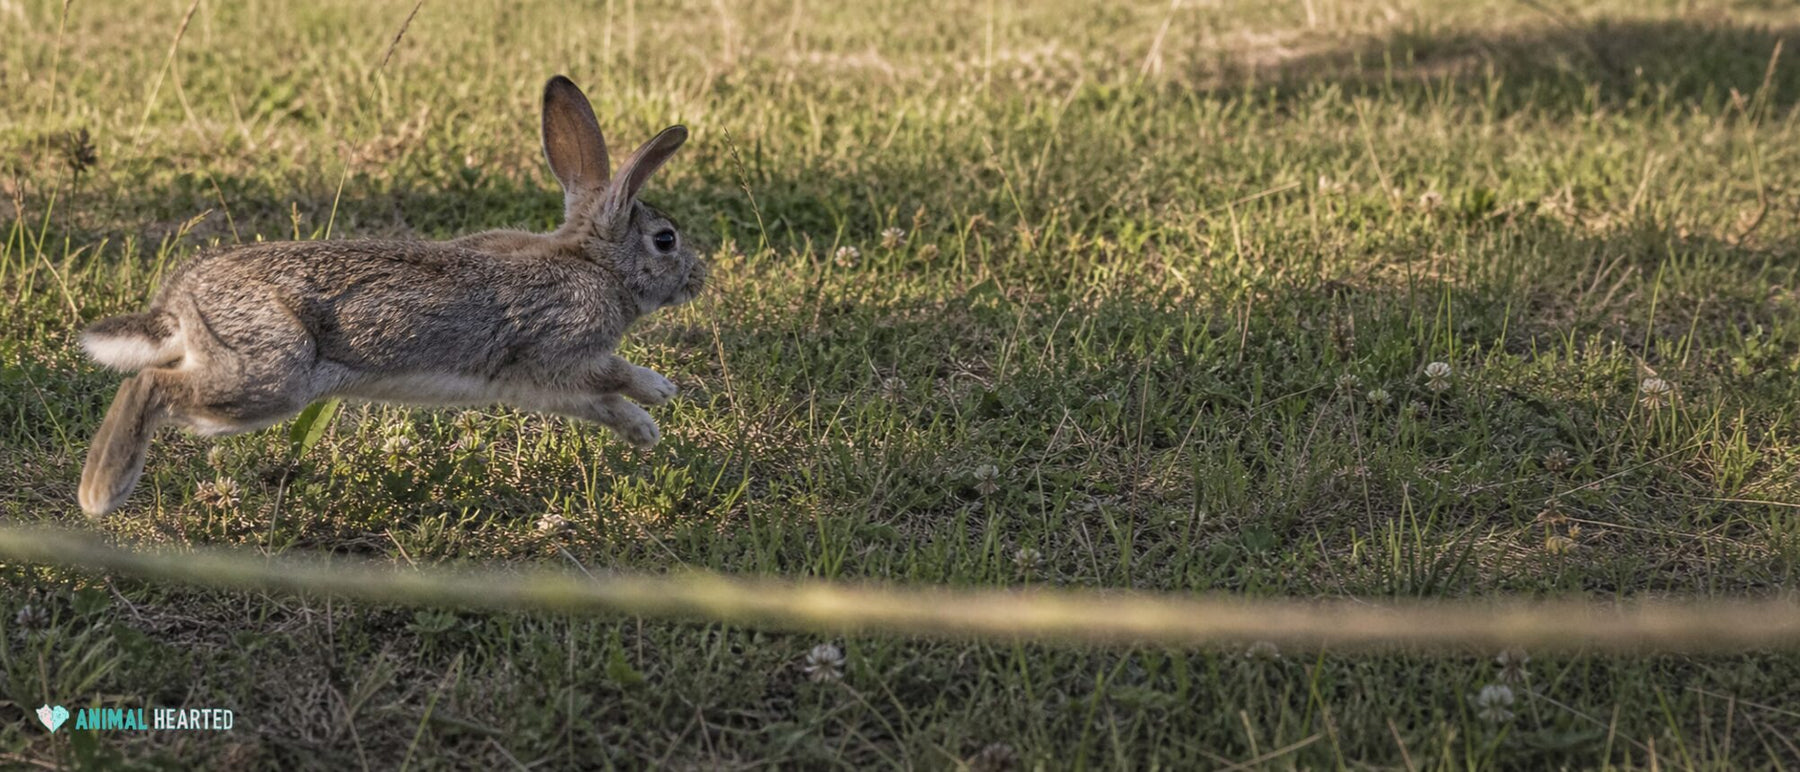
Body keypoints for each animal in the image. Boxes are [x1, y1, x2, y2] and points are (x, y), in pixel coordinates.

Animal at [75, 75, 706, 517]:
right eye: (665, 240)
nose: (699, 277)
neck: (592, 263)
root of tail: (179, 303)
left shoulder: (543, 385)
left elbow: (597, 404)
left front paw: (644, 432)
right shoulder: (560, 349)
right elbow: (613, 374)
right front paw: (661, 391)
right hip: (269, 377)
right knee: (146, 384)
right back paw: (100, 493)